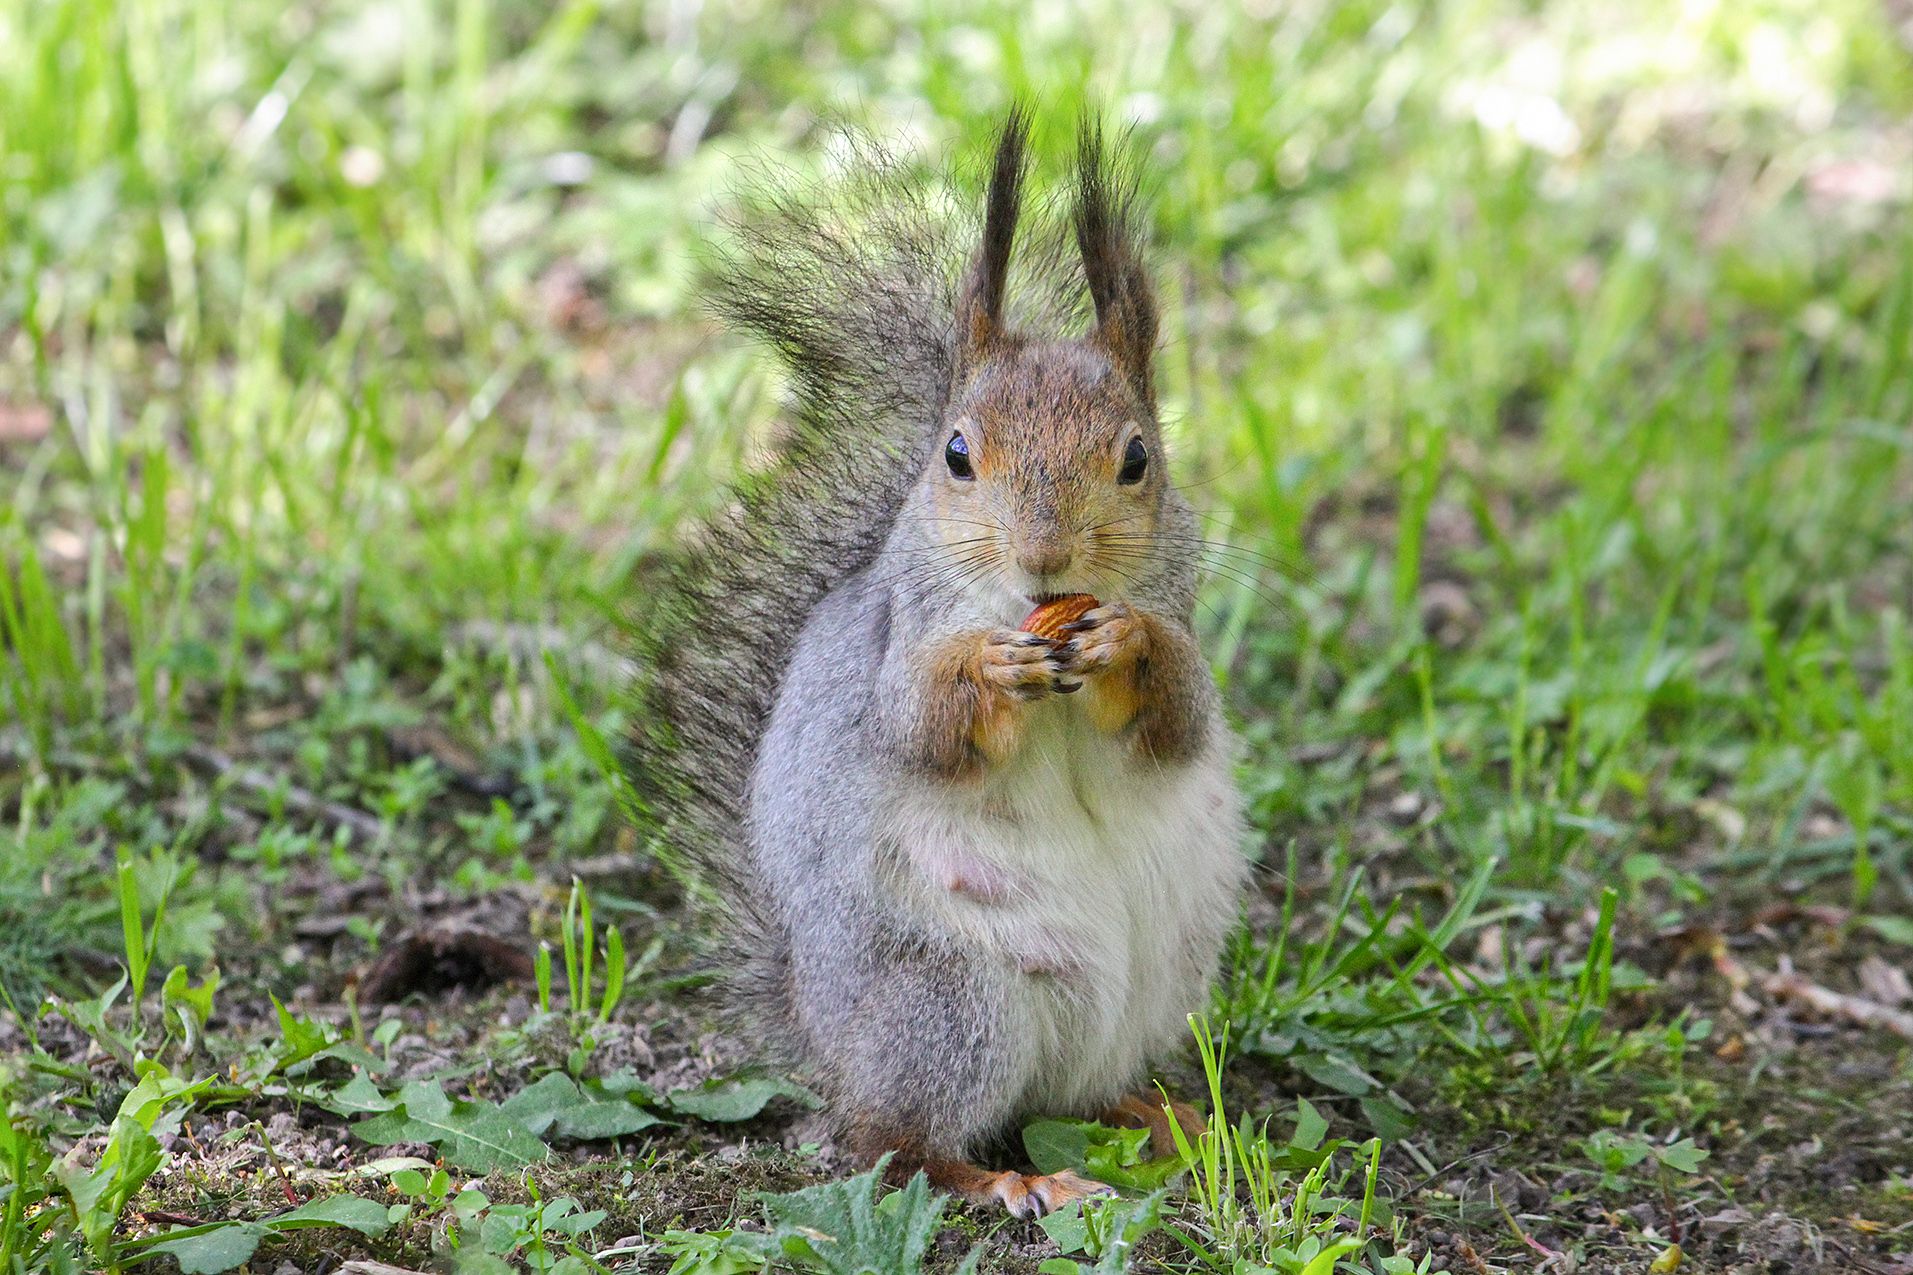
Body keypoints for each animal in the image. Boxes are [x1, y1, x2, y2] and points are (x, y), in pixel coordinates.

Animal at [626, 110, 1247, 1217]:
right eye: (955, 455)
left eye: (1136, 458)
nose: (1044, 556)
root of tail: (824, 1041)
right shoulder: (896, 645)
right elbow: (918, 726)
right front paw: (988, 668)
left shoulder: (1184, 633)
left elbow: (1177, 714)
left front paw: (1124, 643)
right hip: (948, 1003)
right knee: (893, 1143)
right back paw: (1006, 1178)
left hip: (1140, 996)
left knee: (1075, 1098)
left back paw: (1167, 1118)